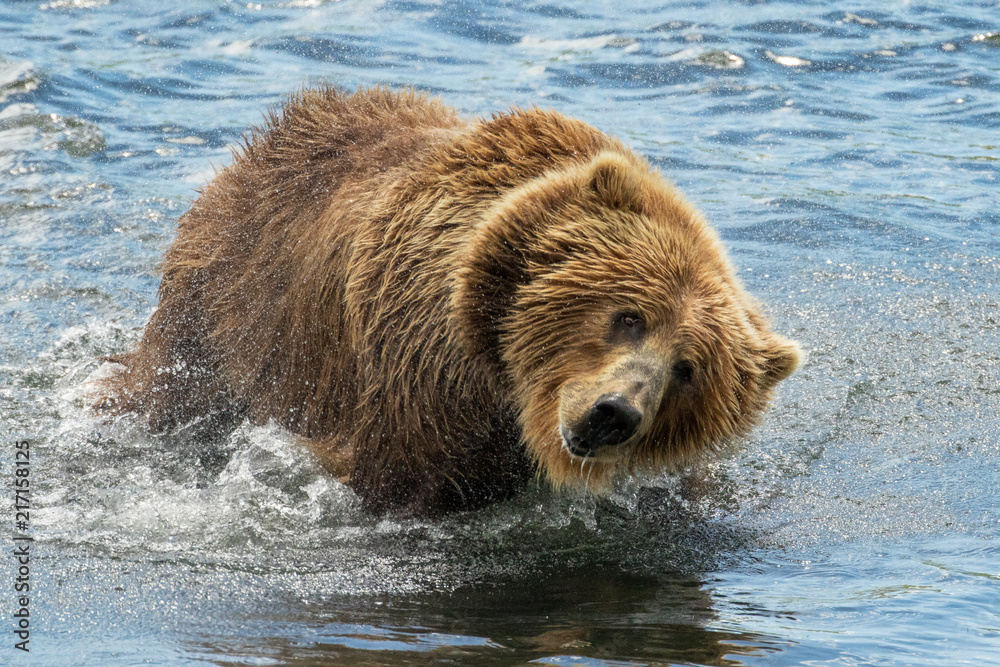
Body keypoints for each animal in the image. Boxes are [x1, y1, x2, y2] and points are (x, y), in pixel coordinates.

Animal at [95, 85, 801, 515]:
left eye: (688, 369)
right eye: (628, 317)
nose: (614, 413)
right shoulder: (419, 385)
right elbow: (396, 481)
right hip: (226, 301)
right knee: (164, 387)